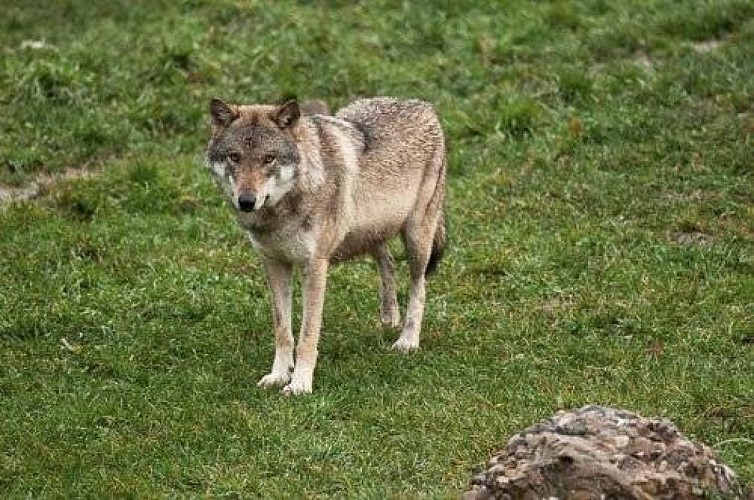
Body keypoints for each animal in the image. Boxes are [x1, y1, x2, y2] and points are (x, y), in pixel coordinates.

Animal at [204, 96, 447, 395]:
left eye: (268, 158)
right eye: (234, 157)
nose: (247, 201)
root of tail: (423, 105)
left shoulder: (315, 267)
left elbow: (307, 335)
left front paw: (300, 384)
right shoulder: (274, 264)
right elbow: (283, 332)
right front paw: (278, 376)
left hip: (416, 239)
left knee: (419, 287)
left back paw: (407, 341)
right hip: (371, 235)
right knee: (388, 262)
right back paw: (389, 319)